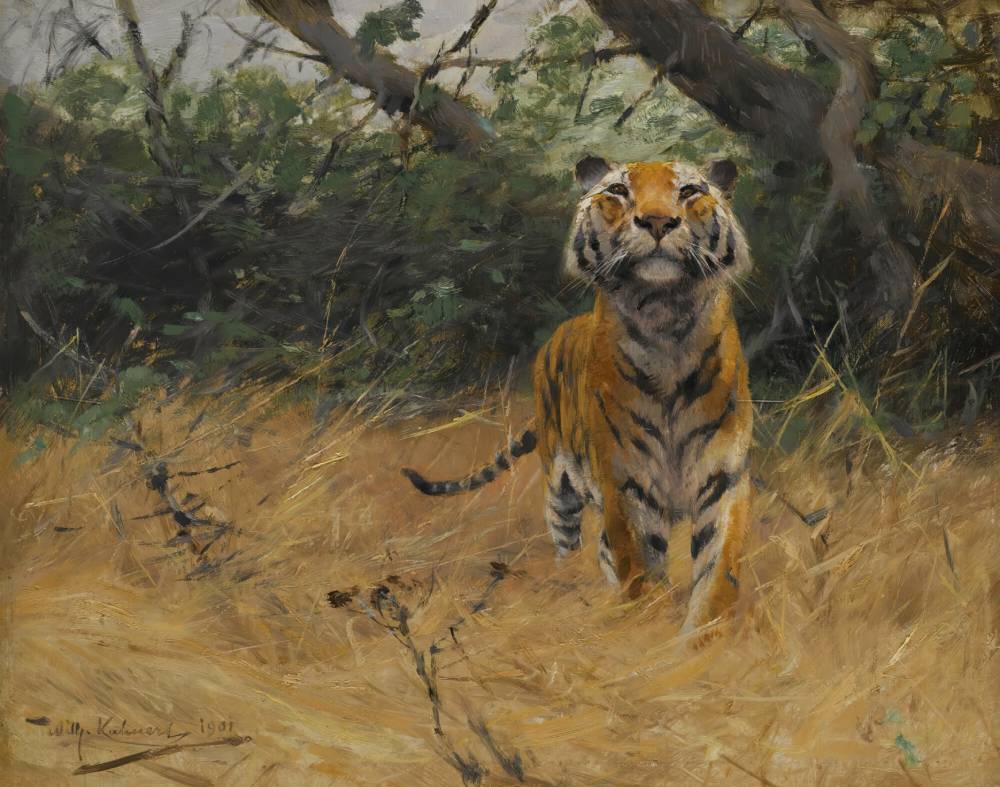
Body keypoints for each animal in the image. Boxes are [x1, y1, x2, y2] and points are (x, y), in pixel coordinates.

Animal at [402, 155, 753, 637]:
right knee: (571, 543)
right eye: (619, 191)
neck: (666, 319)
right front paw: (650, 629)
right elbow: (641, 564)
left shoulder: (723, 477)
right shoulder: (626, 480)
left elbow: (718, 570)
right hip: (559, 489)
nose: (657, 221)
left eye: (689, 191)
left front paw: (702, 639)